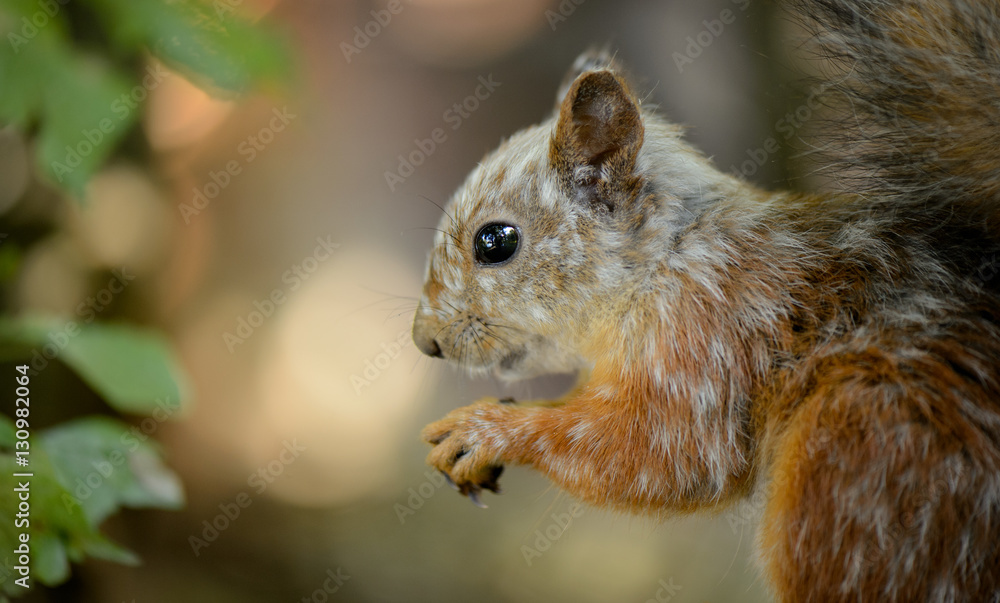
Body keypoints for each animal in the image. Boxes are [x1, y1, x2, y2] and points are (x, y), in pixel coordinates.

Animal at [410, 0, 1000, 600]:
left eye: (495, 242)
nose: (424, 340)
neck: (668, 260)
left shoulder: (709, 338)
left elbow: (661, 457)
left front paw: (486, 429)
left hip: (863, 460)